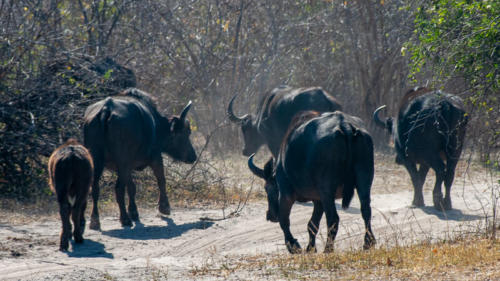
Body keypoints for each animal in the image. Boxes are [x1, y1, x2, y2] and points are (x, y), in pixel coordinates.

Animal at [84, 88, 195, 229]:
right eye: (186, 133)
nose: (193, 156)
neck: (156, 125)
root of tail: (106, 109)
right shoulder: (155, 157)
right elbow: (161, 180)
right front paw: (164, 207)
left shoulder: (127, 167)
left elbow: (132, 187)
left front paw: (134, 212)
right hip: (122, 162)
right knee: (118, 188)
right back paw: (125, 219)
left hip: (97, 160)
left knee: (95, 188)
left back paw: (95, 221)